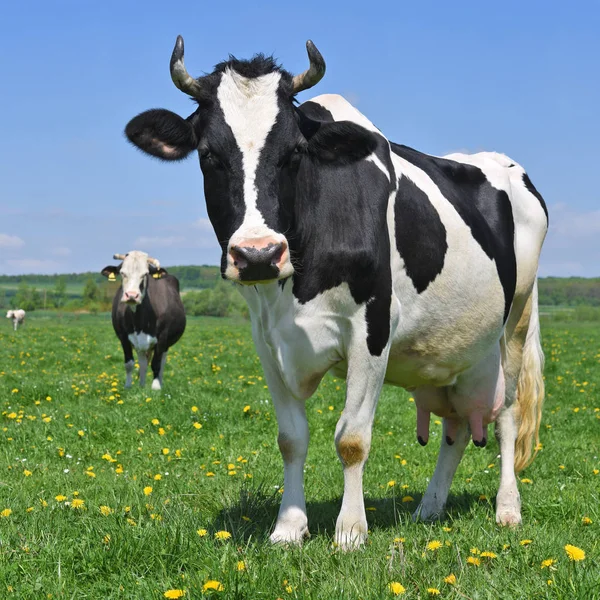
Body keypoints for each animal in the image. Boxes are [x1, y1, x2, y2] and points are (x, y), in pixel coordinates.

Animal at [101, 251, 186, 392]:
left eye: (145, 274)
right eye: (122, 272)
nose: (131, 295)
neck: (140, 320)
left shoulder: (162, 337)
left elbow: (156, 364)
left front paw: (156, 388)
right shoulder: (123, 337)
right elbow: (129, 363)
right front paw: (128, 386)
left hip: (165, 344)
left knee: (161, 363)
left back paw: (159, 383)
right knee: (143, 363)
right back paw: (141, 385)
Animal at [123, 37, 548, 552]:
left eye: (294, 153)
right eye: (208, 154)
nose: (259, 254)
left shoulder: (374, 327)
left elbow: (352, 438)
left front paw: (349, 531)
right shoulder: (267, 339)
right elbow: (291, 437)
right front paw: (289, 526)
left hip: (516, 322)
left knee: (507, 413)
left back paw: (508, 508)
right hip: (455, 351)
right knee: (458, 427)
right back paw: (429, 507)